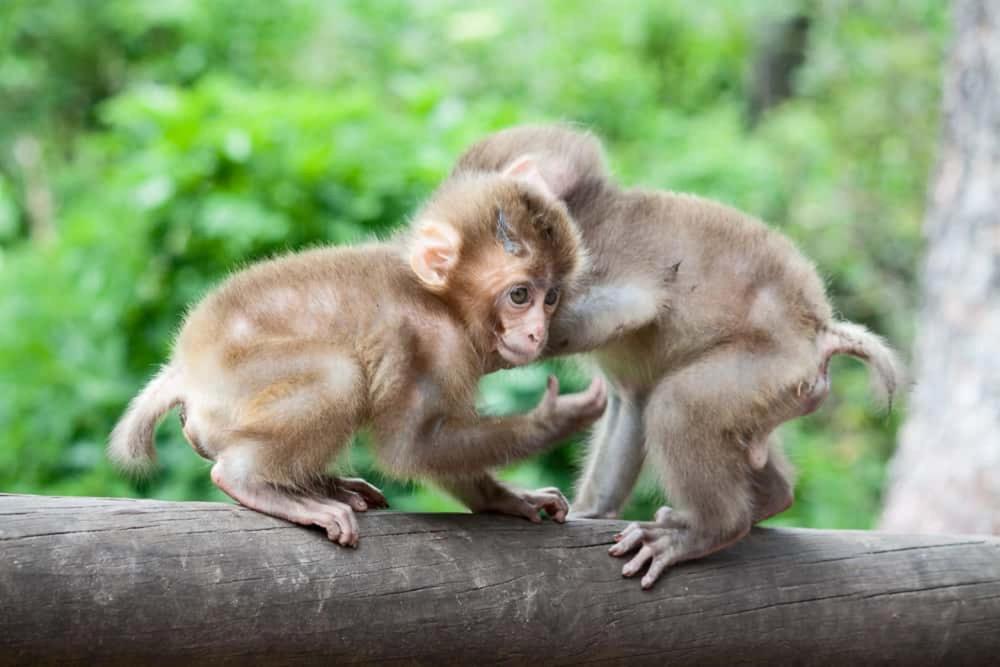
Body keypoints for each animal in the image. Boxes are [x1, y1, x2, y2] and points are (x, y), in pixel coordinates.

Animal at [109, 162, 608, 548]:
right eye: (520, 295)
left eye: (551, 298)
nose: (538, 332)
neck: (441, 303)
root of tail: (185, 371)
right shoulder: (432, 346)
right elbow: (410, 448)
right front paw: (554, 418)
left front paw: (506, 499)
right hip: (231, 387)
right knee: (340, 374)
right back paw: (251, 481)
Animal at [454, 125, 908, 588]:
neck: (585, 210)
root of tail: (818, 332)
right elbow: (630, 399)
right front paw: (592, 511)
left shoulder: (589, 260)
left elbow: (633, 310)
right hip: (782, 390)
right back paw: (771, 497)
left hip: (771, 367)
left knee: (679, 405)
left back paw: (708, 530)